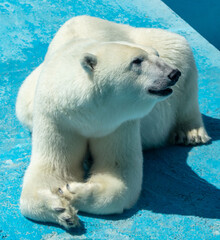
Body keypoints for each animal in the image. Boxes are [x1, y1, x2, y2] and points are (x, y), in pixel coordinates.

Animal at [15, 15, 210, 228]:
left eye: (155, 55)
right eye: (137, 61)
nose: (173, 74)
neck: (88, 110)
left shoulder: (119, 122)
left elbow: (118, 171)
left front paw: (74, 192)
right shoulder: (58, 117)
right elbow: (51, 170)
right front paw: (60, 210)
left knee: (182, 58)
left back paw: (191, 133)